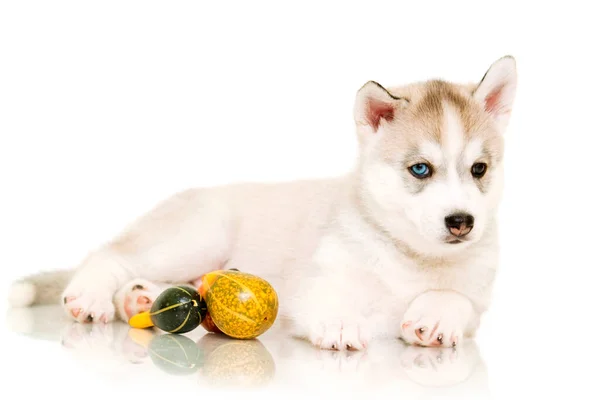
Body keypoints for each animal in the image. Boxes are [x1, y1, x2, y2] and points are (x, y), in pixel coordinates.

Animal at [8, 56, 516, 350]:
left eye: (478, 170)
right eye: (420, 170)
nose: (461, 222)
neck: (412, 257)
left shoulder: (479, 299)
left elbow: (458, 299)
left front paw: (435, 312)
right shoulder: (311, 283)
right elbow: (330, 297)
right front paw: (340, 321)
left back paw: (142, 296)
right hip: (199, 235)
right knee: (109, 253)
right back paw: (92, 293)